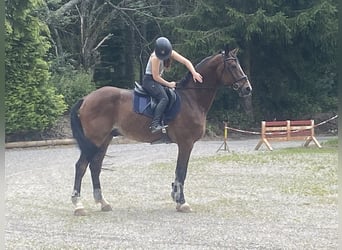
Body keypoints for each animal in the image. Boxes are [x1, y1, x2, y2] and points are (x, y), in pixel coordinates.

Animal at [70, 47, 251, 215]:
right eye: (233, 66)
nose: (247, 88)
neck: (191, 98)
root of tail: (86, 98)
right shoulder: (186, 143)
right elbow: (181, 172)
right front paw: (182, 202)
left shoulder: (185, 144)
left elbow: (179, 173)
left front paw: (176, 198)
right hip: (95, 140)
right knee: (81, 166)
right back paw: (78, 205)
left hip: (104, 140)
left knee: (95, 166)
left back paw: (103, 202)